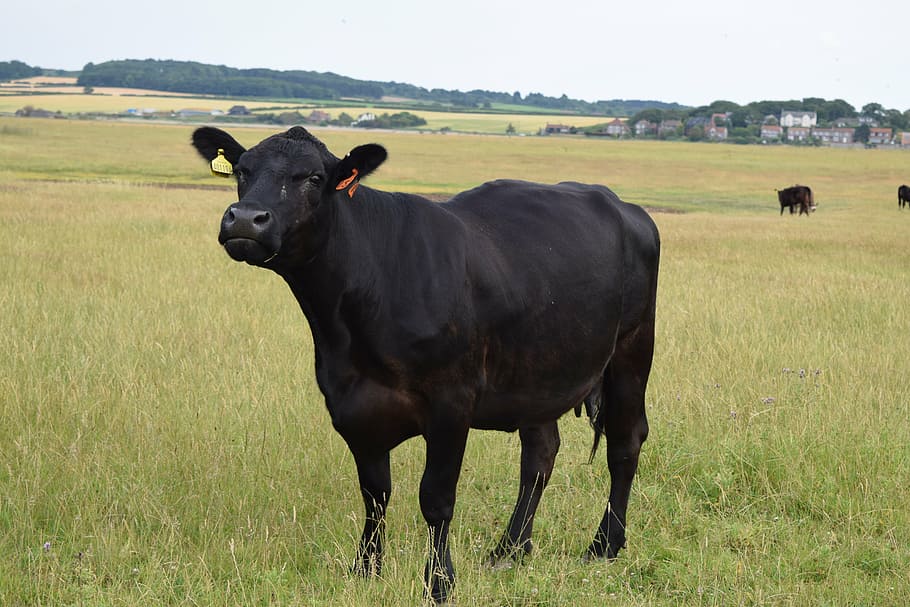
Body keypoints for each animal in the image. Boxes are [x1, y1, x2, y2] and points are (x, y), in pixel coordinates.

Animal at [191, 126, 660, 603]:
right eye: (242, 170)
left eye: (314, 178)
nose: (246, 219)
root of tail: (625, 207)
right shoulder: (351, 404)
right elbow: (375, 493)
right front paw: (365, 569)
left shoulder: (451, 403)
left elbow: (435, 498)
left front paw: (438, 582)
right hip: (537, 373)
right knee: (540, 454)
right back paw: (510, 549)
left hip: (632, 349)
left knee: (625, 443)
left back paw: (604, 545)